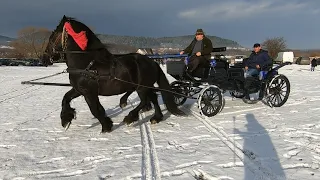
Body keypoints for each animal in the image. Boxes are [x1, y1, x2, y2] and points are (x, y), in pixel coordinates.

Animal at [42, 15, 185, 133]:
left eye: (52, 35)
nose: (44, 57)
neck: (86, 65)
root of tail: (152, 62)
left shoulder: (89, 92)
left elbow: (95, 110)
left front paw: (106, 126)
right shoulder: (79, 89)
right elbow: (66, 98)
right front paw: (66, 120)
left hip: (142, 87)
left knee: (144, 101)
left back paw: (130, 117)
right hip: (146, 86)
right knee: (153, 98)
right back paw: (156, 117)